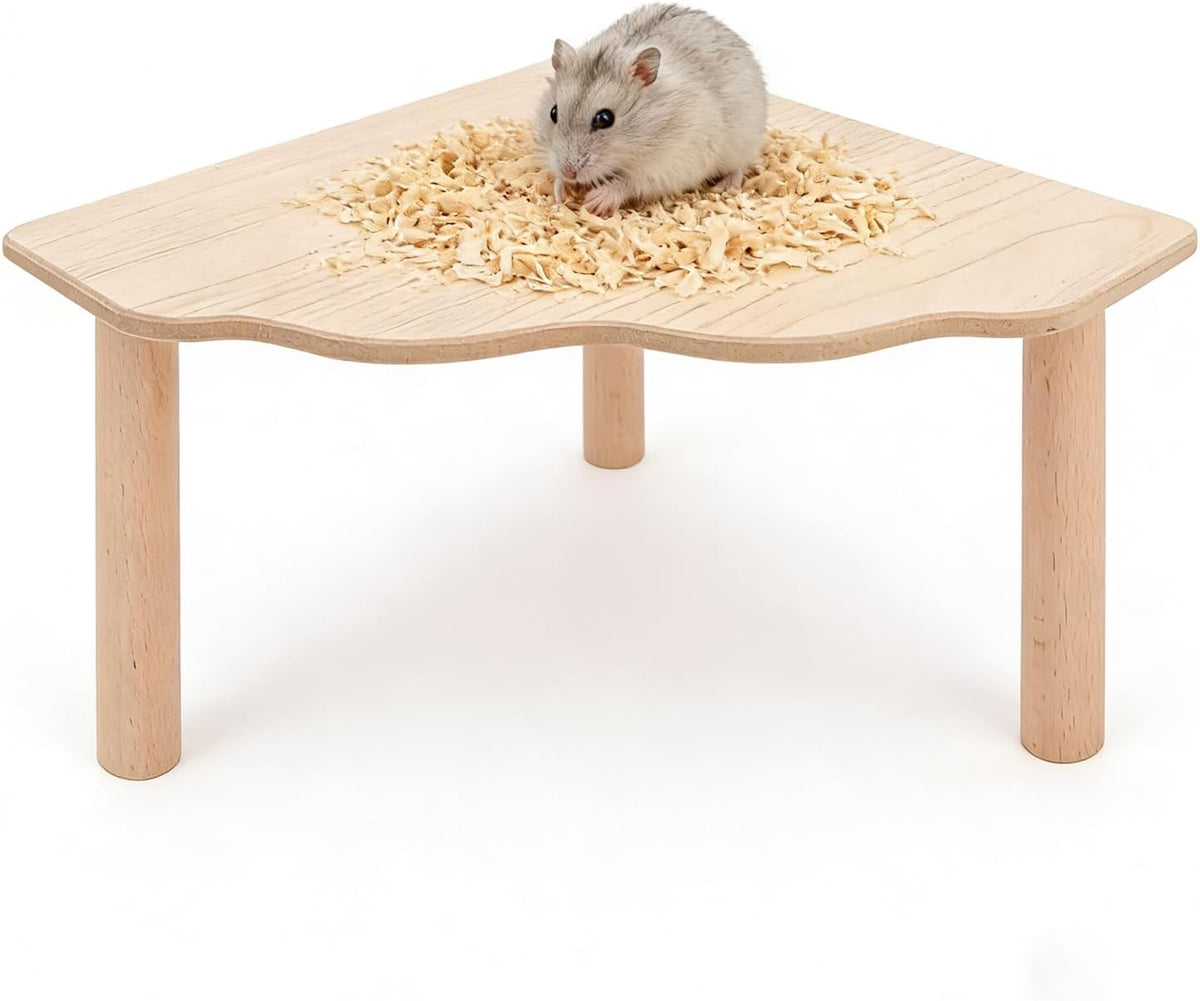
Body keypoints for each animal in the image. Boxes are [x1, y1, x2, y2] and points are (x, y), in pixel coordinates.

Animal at [534, 4, 767, 215]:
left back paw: (725, 186)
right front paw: (563, 189)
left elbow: (631, 182)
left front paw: (596, 201)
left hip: (744, 140)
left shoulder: (673, 162)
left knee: (739, 167)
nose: (569, 172)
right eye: (553, 112)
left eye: (605, 119)